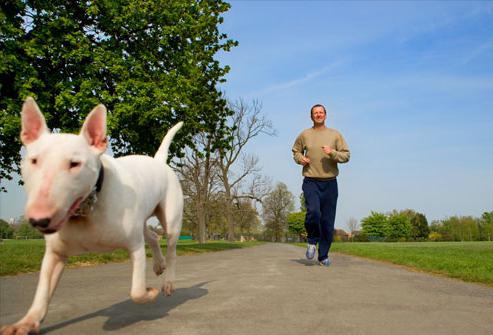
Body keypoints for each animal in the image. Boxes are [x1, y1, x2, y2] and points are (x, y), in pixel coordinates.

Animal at [0, 98, 183, 335]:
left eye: (74, 164)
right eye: (33, 161)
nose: (38, 219)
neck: (86, 208)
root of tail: (158, 161)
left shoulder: (134, 246)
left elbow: (136, 291)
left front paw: (149, 292)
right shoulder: (55, 254)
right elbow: (42, 291)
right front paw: (26, 322)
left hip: (171, 219)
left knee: (171, 249)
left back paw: (168, 280)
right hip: (141, 215)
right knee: (151, 236)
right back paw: (158, 264)